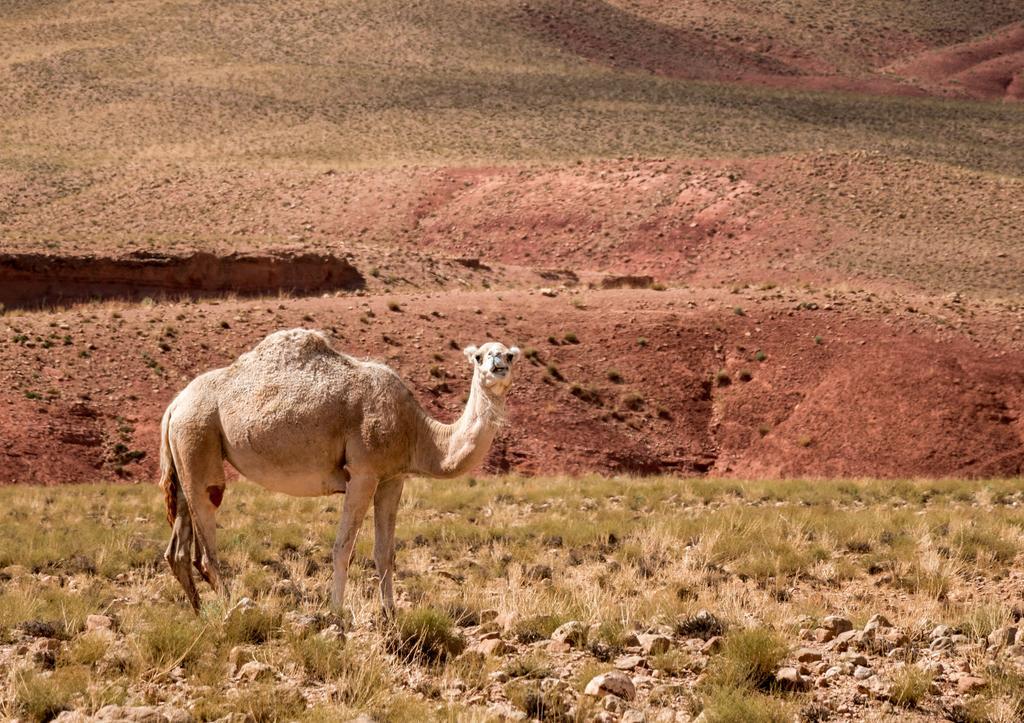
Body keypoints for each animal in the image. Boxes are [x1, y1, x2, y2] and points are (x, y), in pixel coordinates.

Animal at [159, 327, 520, 614]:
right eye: (479, 356)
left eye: (509, 355)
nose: (497, 366)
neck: (418, 431)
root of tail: (174, 405)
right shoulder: (362, 473)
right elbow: (342, 548)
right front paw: (336, 613)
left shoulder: (393, 477)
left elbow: (385, 551)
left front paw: (391, 615)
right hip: (198, 437)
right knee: (205, 543)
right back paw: (234, 609)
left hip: (185, 454)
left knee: (178, 549)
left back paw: (200, 613)